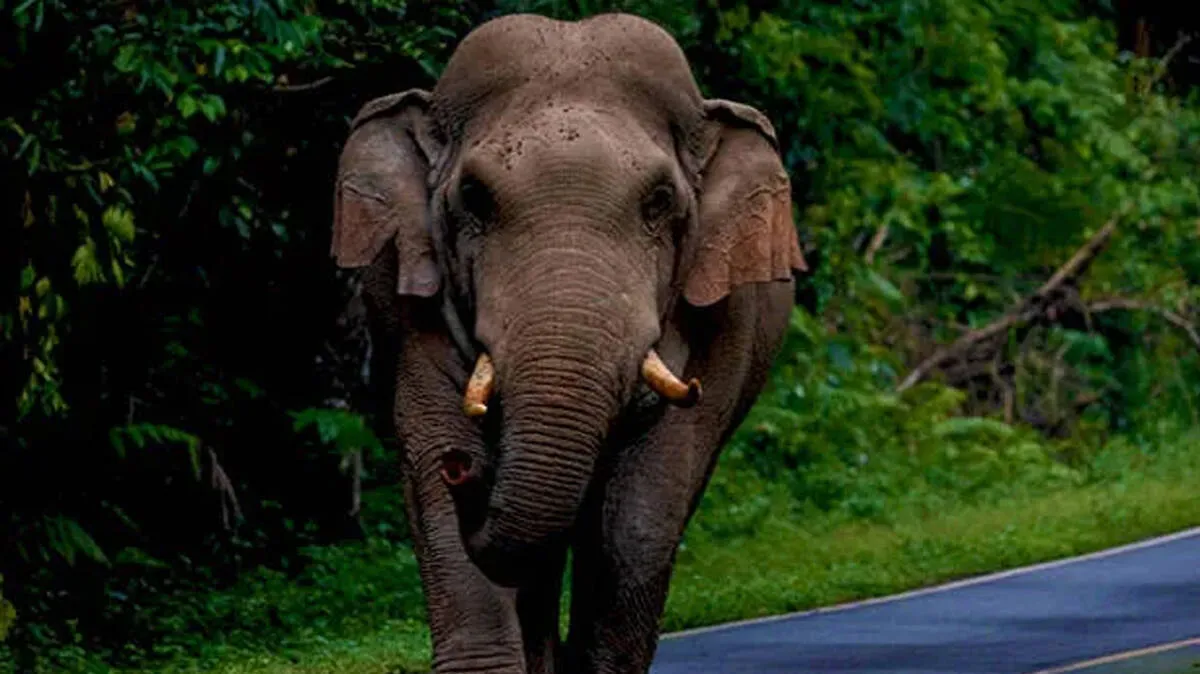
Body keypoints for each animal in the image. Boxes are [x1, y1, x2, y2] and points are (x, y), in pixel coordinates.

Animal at [328, 11, 807, 674]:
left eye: (660, 201)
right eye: (473, 198)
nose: (464, 469)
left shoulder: (721, 321)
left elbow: (638, 515)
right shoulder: (406, 306)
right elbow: (433, 483)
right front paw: (449, 459)